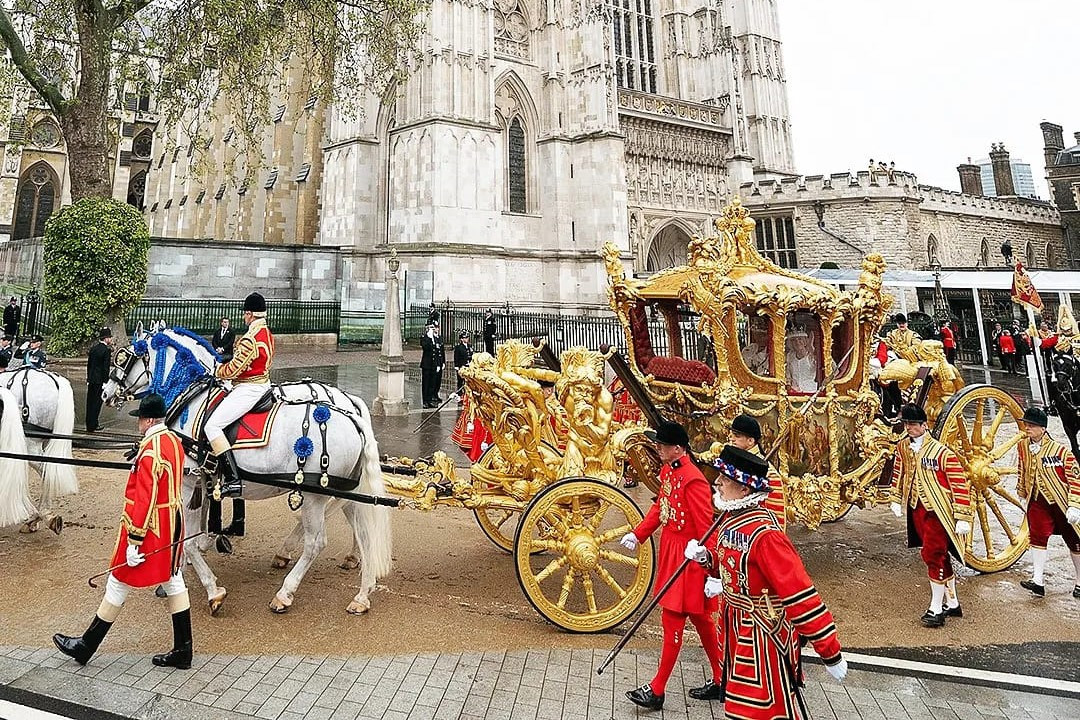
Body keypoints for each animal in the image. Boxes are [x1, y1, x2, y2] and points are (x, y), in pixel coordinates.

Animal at [103, 330, 393, 617]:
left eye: (123, 356)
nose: (106, 392)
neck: (193, 400)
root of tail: (352, 415)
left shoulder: (188, 481)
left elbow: (187, 540)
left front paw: (211, 590)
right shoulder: (201, 482)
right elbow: (191, 532)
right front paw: (181, 572)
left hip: (314, 496)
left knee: (316, 543)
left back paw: (285, 593)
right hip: (345, 491)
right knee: (364, 533)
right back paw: (362, 594)